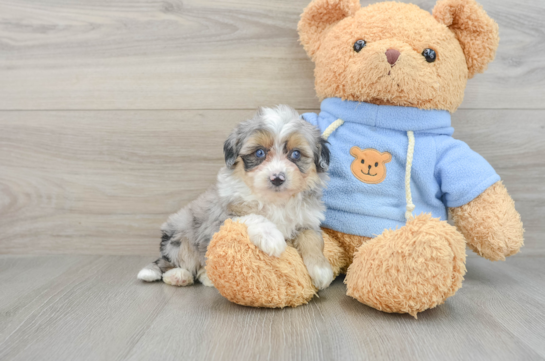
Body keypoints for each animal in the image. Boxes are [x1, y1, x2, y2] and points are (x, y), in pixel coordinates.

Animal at [137, 105, 332, 288]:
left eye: (296, 154)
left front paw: (321, 270)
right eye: (260, 153)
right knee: (174, 262)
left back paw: (205, 277)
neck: (275, 201)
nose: (277, 178)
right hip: (180, 237)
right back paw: (177, 275)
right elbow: (254, 217)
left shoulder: (307, 220)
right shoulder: (223, 216)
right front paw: (272, 238)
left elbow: (314, 239)